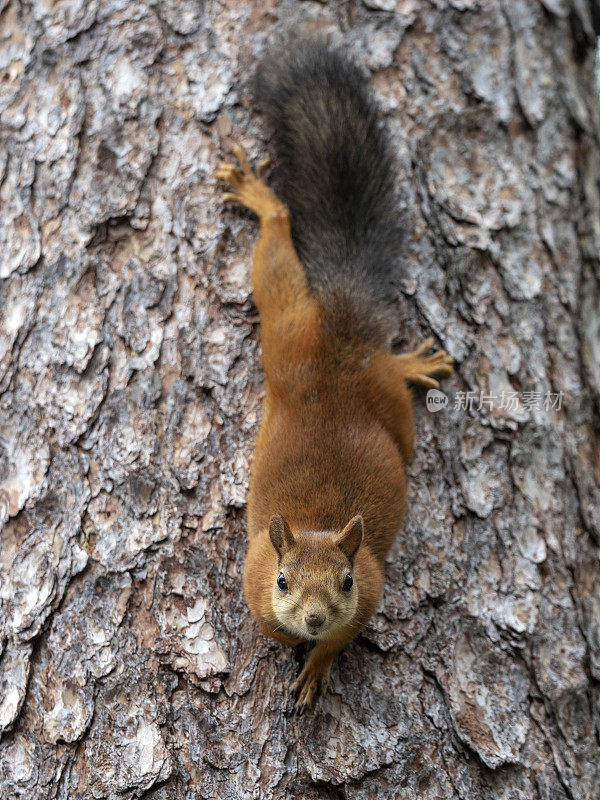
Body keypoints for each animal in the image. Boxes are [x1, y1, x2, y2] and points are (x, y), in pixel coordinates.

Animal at [218, 40, 452, 708]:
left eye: (345, 581)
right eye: (285, 581)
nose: (316, 616)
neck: (317, 527)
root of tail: (341, 341)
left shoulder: (371, 590)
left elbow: (344, 639)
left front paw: (317, 664)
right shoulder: (253, 577)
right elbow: (267, 624)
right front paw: (294, 641)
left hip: (348, 375)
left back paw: (414, 362)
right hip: (286, 325)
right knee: (278, 260)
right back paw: (262, 200)